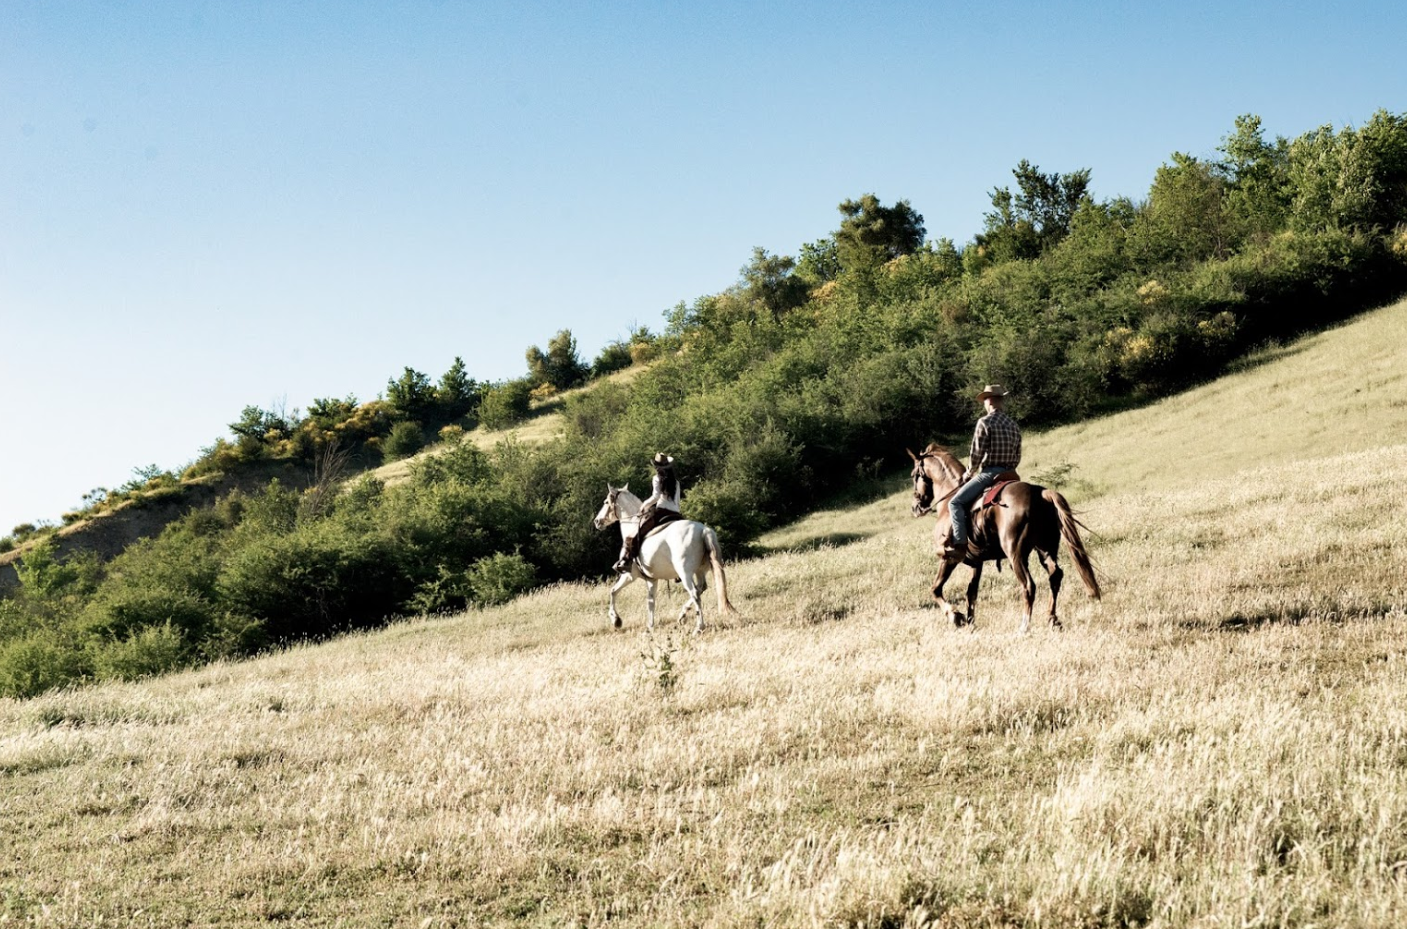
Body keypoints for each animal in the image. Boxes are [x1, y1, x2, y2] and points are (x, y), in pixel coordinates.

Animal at [592, 485, 737, 633]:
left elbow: (613, 591)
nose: (597, 521)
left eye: (606, 502)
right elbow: (650, 601)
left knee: (695, 593)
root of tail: (703, 530)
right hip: (700, 571)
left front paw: (616, 620)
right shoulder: (651, 579)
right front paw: (650, 626)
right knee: (701, 588)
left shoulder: (629, 575)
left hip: (685, 573)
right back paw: (682, 615)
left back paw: (699, 627)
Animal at [908, 443, 1100, 632]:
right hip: (1046, 548)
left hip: (1015, 554)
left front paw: (955, 616)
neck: (948, 501)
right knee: (1055, 576)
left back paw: (1024, 626)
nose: (915, 507)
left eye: (914, 476)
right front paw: (970, 623)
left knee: (1028, 586)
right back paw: (1052, 619)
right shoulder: (976, 563)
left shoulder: (948, 557)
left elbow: (935, 589)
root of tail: (1040, 493)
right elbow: (971, 593)